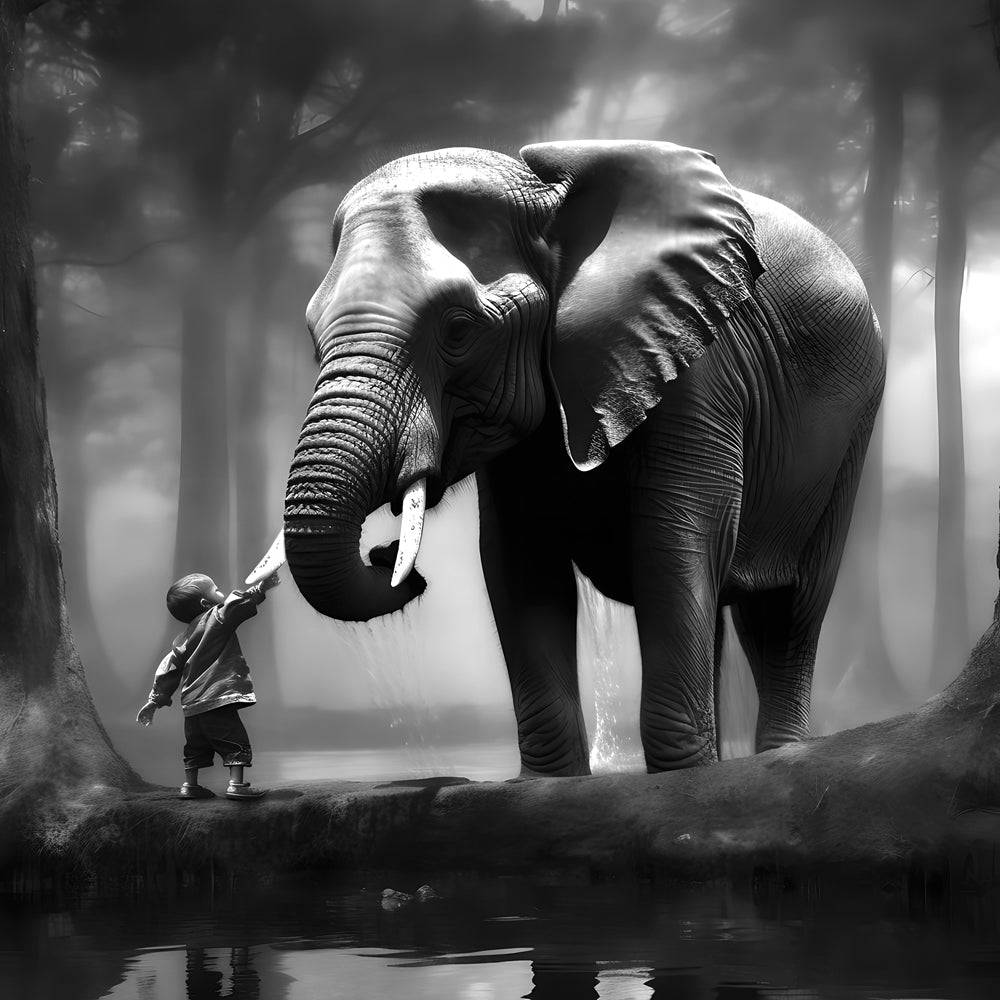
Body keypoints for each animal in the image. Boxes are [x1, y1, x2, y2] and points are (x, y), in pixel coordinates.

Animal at [283, 139, 884, 777]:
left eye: (459, 330)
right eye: (313, 336)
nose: (387, 555)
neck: (549, 202)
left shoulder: (693, 358)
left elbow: (675, 539)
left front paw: (680, 779)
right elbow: (517, 562)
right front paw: (554, 782)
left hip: (854, 422)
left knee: (787, 610)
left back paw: (781, 755)